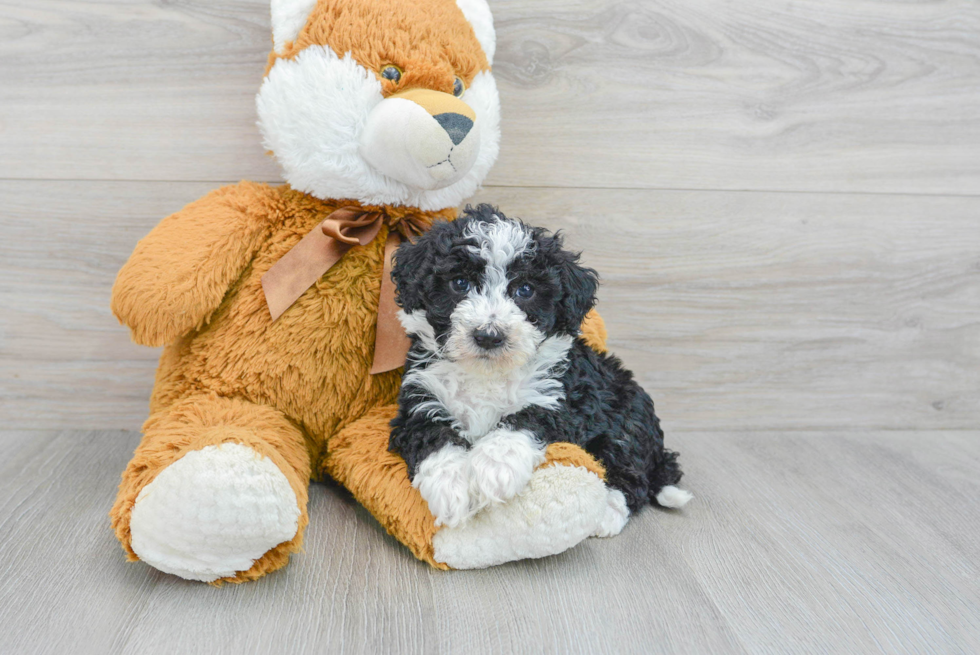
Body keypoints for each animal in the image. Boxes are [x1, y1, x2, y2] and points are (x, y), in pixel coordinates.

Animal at [386, 206, 692, 540]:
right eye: (460, 283)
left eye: (525, 290)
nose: (489, 336)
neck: (487, 372)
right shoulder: (420, 401)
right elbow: (433, 436)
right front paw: (451, 486)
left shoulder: (560, 400)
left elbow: (524, 418)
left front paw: (493, 469)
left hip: (625, 421)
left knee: (633, 475)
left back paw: (608, 511)